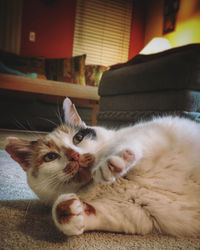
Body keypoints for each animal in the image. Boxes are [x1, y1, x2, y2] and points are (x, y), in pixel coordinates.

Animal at [5, 97, 200, 236]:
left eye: (78, 138)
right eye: (50, 157)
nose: (75, 155)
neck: (97, 185)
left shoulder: (157, 132)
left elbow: (131, 143)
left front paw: (110, 164)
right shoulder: (135, 213)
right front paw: (69, 210)